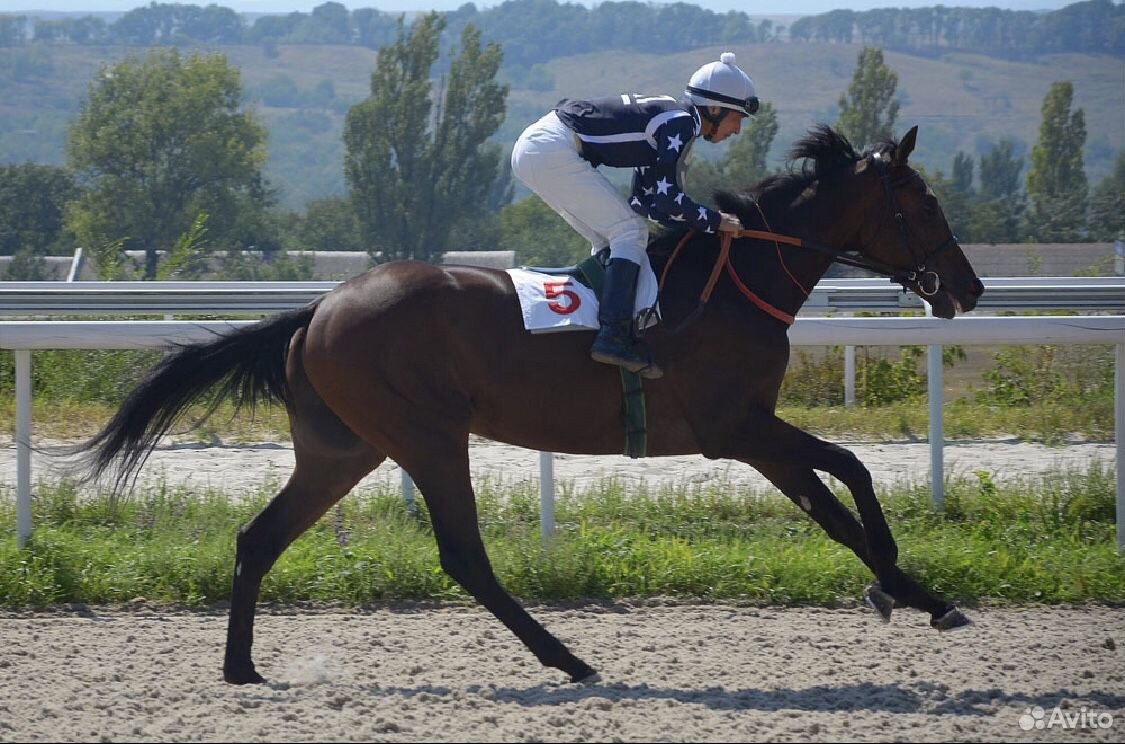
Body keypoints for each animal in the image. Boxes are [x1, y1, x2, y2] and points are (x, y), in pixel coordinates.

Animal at [74, 123, 985, 684]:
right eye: (926, 203)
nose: (969, 289)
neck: (737, 281)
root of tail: (319, 308)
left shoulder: (752, 434)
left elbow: (831, 505)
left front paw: (909, 593)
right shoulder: (735, 427)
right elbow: (851, 470)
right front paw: (910, 589)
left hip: (344, 449)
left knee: (259, 537)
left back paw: (240, 666)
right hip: (428, 436)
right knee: (462, 557)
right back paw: (568, 658)